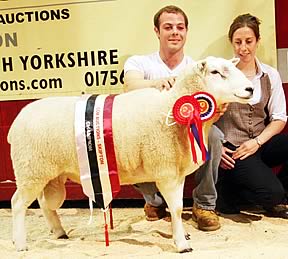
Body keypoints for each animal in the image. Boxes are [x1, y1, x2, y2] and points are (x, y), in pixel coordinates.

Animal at [7, 57, 253, 254]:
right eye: (215, 72)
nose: (250, 89)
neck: (170, 107)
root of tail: (16, 121)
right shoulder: (166, 171)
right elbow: (176, 208)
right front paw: (182, 244)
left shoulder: (177, 171)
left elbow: (177, 208)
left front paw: (180, 234)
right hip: (30, 169)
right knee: (17, 203)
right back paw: (20, 244)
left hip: (48, 174)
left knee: (45, 203)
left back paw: (59, 232)